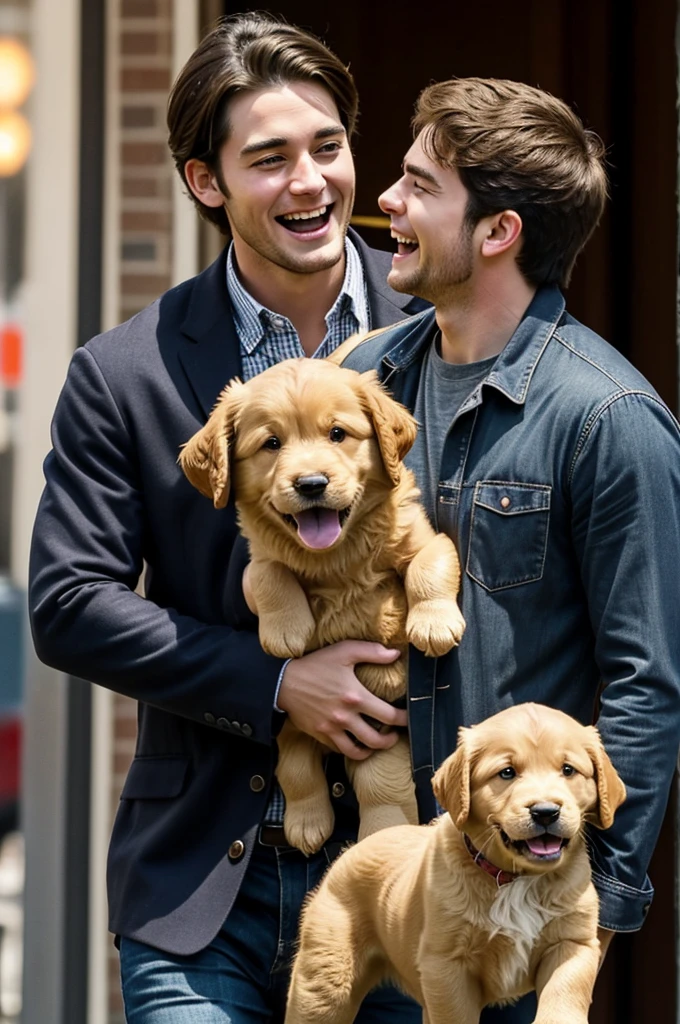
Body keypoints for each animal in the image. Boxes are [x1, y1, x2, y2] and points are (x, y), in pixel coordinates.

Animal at [180, 360, 464, 856]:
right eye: (272, 443)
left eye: (337, 433)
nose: (311, 484)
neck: (335, 559)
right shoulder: (260, 558)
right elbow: (270, 573)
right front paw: (286, 629)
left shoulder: (424, 537)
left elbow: (429, 564)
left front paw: (433, 624)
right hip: (294, 724)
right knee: (296, 765)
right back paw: (307, 822)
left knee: (379, 786)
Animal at [284, 704, 622, 1024]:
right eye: (507, 773)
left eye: (568, 770)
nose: (546, 812)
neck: (516, 879)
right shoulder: (445, 966)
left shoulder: (573, 944)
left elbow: (563, 997)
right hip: (324, 981)